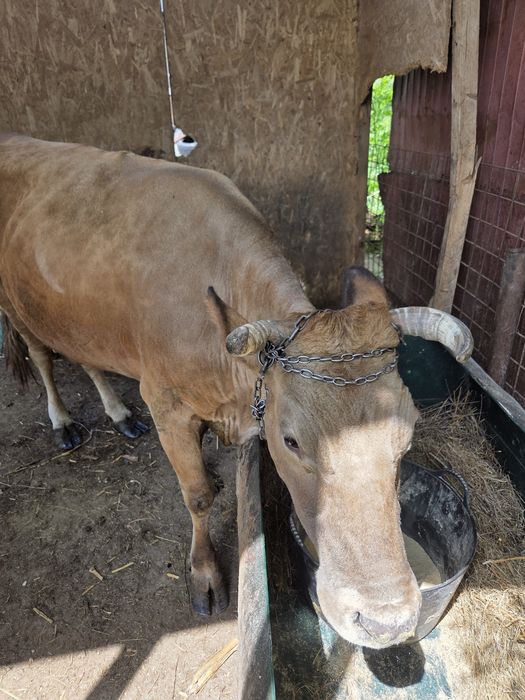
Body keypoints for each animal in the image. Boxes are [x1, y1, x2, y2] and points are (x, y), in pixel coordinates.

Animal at [0, 135, 472, 648]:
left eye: (407, 437)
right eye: (291, 442)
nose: (387, 622)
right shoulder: (165, 403)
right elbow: (198, 496)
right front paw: (204, 574)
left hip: (74, 318)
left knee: (86, 356)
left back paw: (120, 414)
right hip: (17, 305)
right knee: (42, 356)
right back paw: (63, 422)